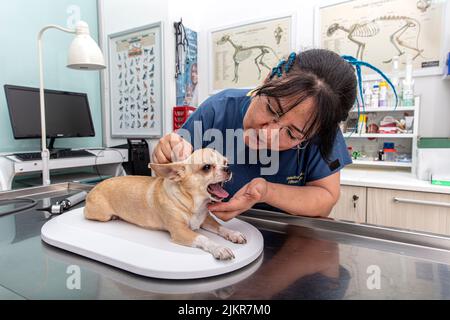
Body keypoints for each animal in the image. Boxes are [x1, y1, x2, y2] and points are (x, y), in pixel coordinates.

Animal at [84, 148, 246, 260]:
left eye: (225, 162)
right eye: (206, 167)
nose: (228, 168)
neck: (194, 205)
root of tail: (95, 187)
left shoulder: (205, 220)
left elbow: (220, 227)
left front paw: (233, 234)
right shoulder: (180, 231)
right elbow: (203, 238)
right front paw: (219, 248)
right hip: (100, 214)